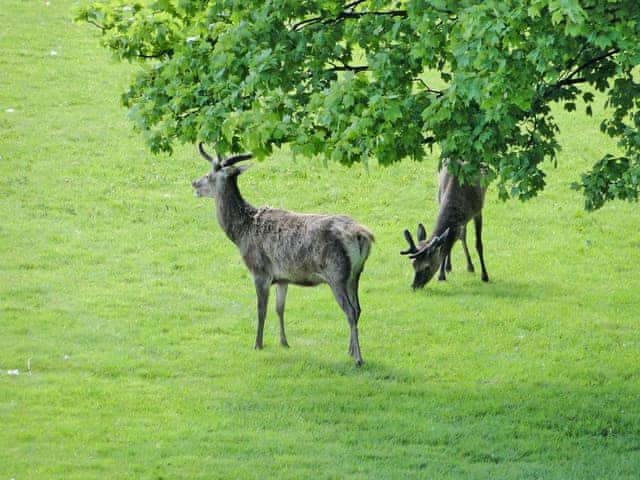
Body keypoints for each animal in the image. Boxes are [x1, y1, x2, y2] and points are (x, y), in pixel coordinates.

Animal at [190, 144, 372, 366]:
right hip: (356, 274)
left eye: (209, 175)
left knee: (350, 310)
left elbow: (261, 309)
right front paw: (284, 342)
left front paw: (258, 344)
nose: (194, 183)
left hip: (337, 273)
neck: (241, 233)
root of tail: (362, 235)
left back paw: (358, 358)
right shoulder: (283, 278)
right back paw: (349, 350)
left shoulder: (259, 270)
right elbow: (279, 308)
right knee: (358, 309)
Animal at [400, 160, 490, 288]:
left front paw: (485, 276)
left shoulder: (478, 210)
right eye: (413, 264)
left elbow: (478, 244)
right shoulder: (440, 201)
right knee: (460, 236)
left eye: (427, 267)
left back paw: (470, 266)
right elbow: (446, 243)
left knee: (462, 236)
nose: (414, 286)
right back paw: (450, 267)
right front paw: (441, 275)